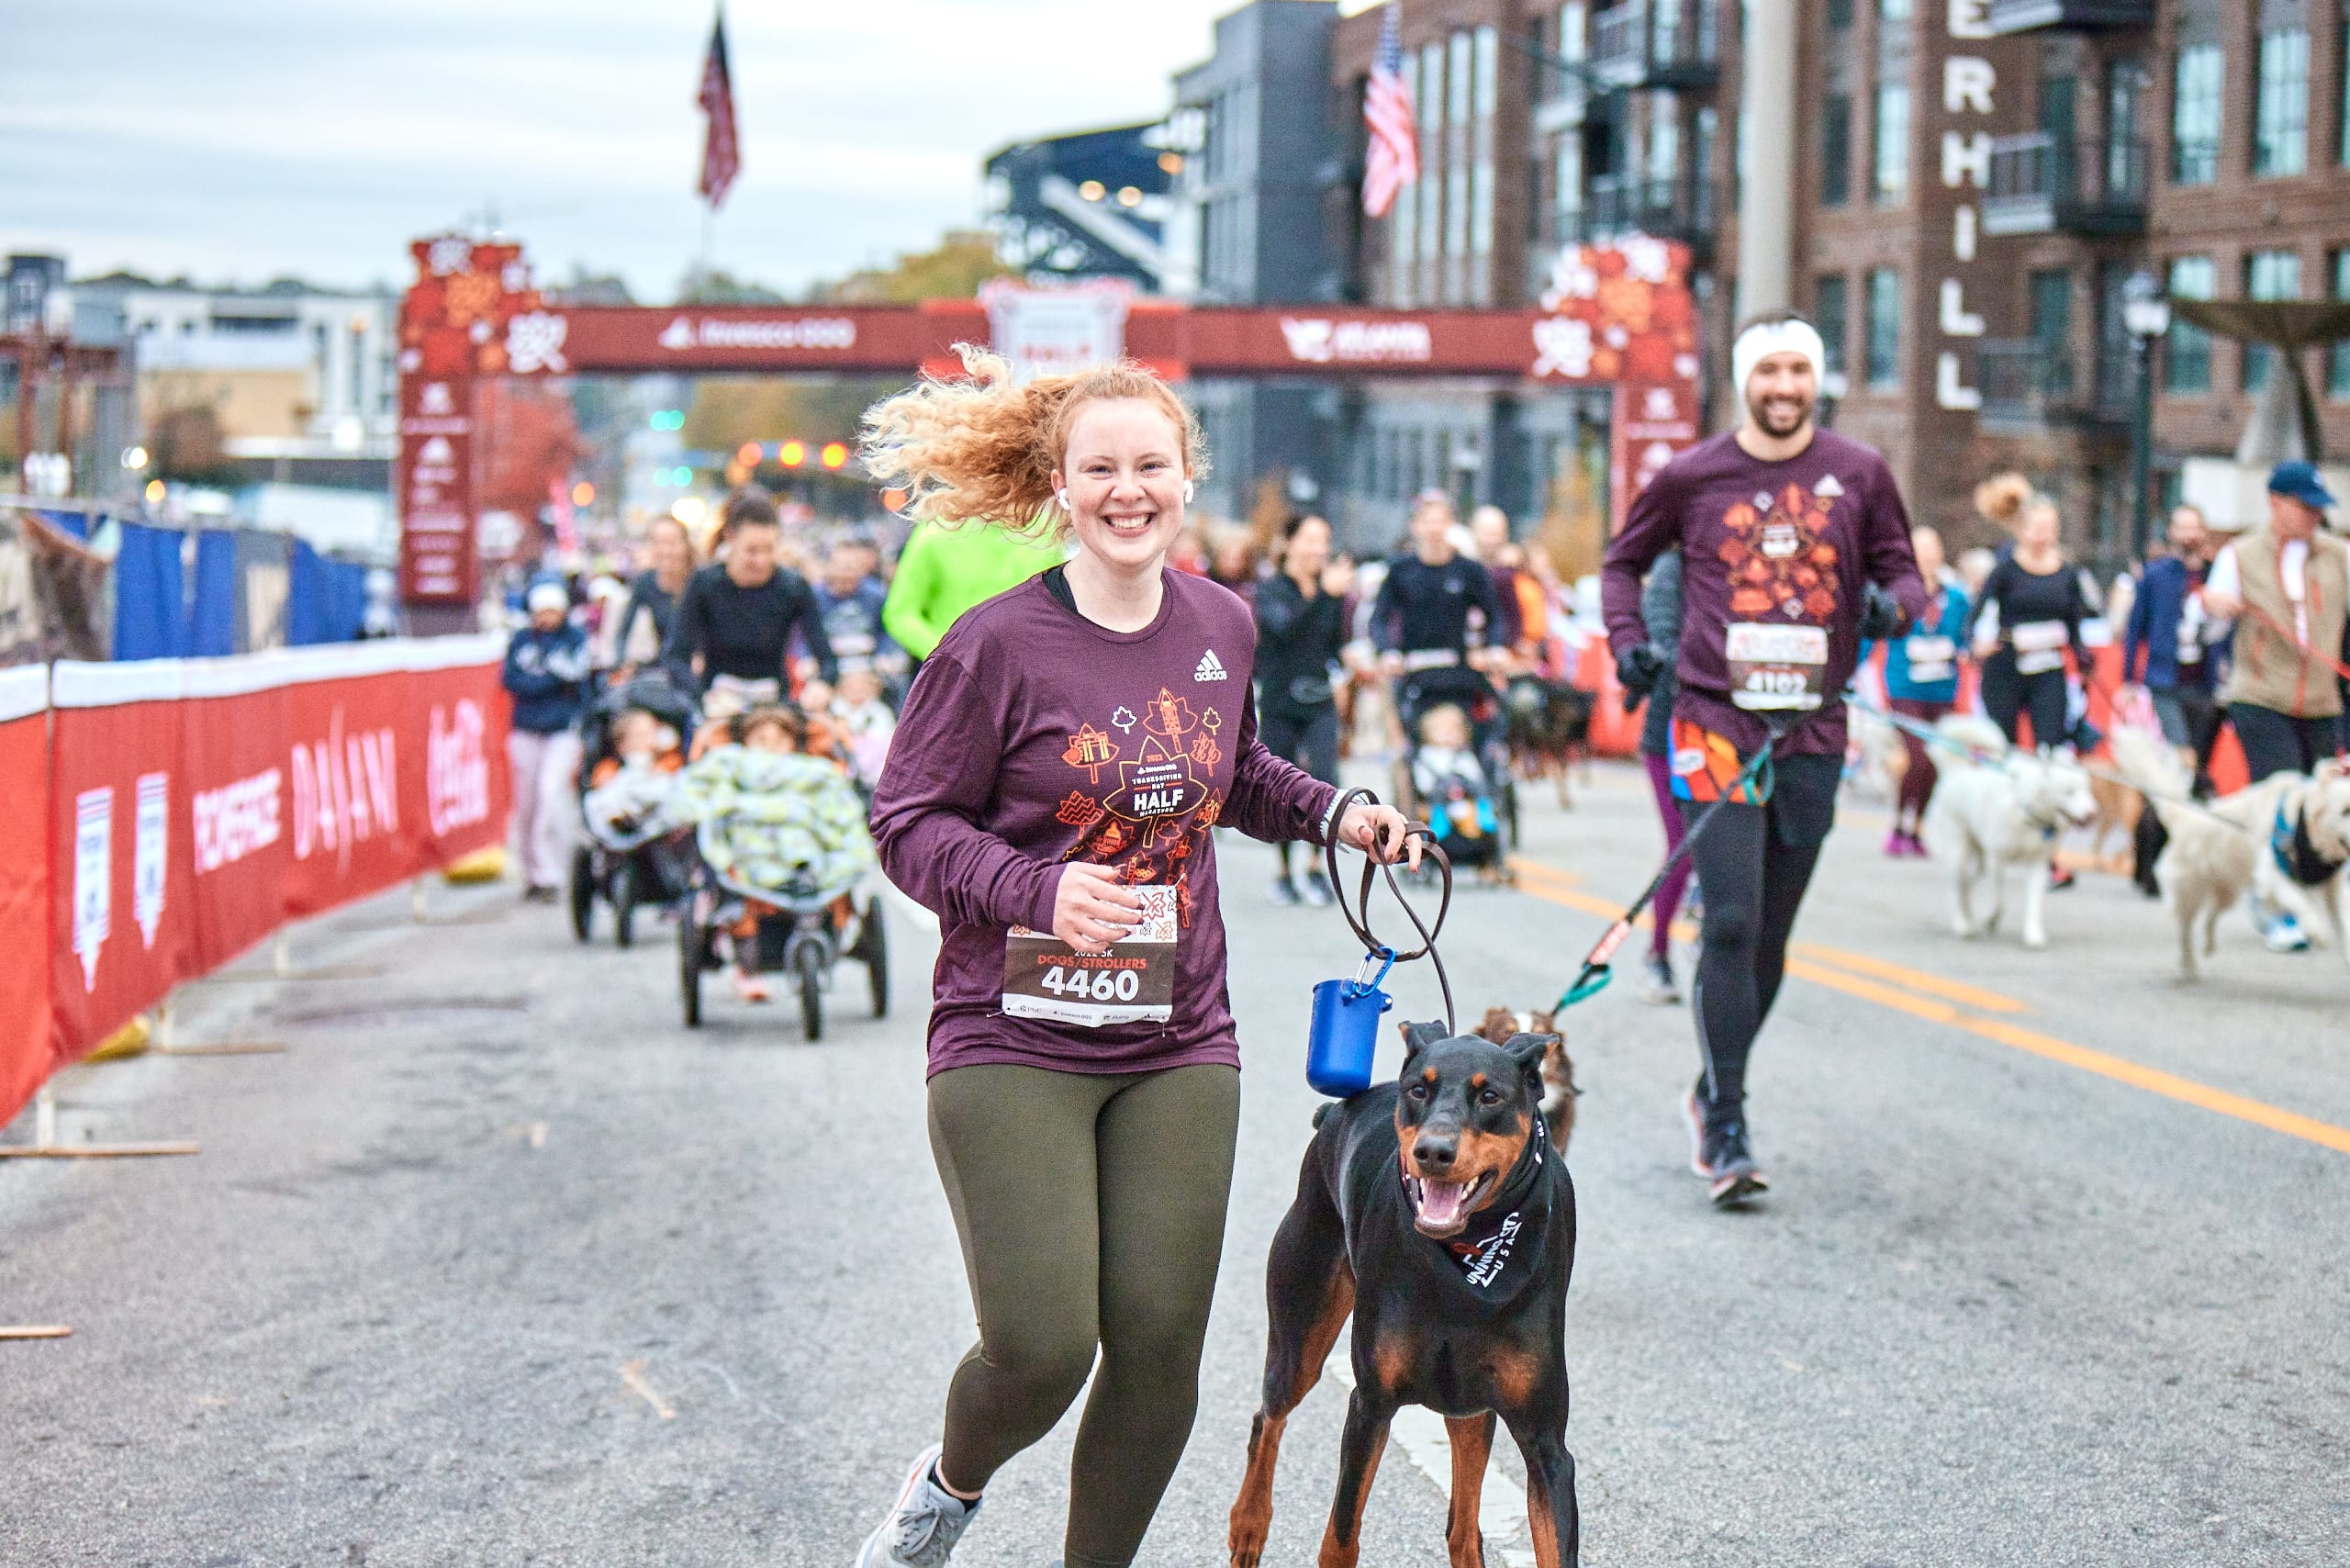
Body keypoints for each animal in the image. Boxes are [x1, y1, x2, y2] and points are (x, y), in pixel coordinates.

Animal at [1231, 1025, 1579, 1561]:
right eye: (1418, 1089)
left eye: (1490, 1097)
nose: (1433, 1152)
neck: (1470, 1256)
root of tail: (1335, 1113)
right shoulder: (1371, 1406)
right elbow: (1340, 1537)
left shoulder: (1547, 1444)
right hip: (1300, 1329)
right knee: (1268, 1417)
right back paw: (1249, 1526)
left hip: (1469, 1405)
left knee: (1463, 1528)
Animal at [1927, 719, 2096, 949]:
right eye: (2069, 791)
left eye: (2086, 789)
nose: (2092, 814)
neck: (2027, 811)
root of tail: (1957, 773)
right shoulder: (1998, 859)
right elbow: (2000, 900)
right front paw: (1992, 920)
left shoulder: (2037, 863)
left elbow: (2034, 903)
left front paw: (2033, 934)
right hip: (1959, 853)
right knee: (1957, 886)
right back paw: (1962, 923)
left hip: (1979, 860)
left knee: (1967, 885)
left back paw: (1967, 916)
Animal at [2115, 728, 2350, 973]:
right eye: (2345, 811)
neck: (2302, 821)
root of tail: (2187, 816)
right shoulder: (2271, 876)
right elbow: (2300, 901)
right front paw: (2316, 930)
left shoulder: (2334, 888)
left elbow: (2344, 925)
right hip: (2189, 893)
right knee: (2185, 930)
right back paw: (2189, 965)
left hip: (2226, 892)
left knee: (2210, 917)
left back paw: (2209, 946)